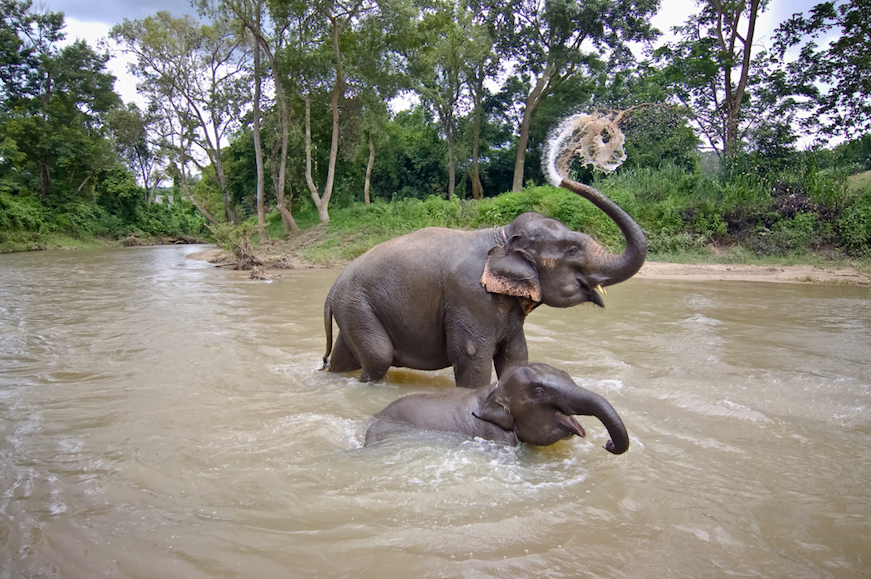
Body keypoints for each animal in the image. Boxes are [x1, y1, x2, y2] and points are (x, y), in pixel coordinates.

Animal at [322, 161, 646, 389]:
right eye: (573, 250)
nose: (561, 173)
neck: (500, 235)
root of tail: (332, 287)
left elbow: (515, 357)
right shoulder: (470, 298)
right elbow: (472, 358)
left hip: (353, 310)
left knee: (345, 357)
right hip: (358, 305)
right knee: (378, 357)